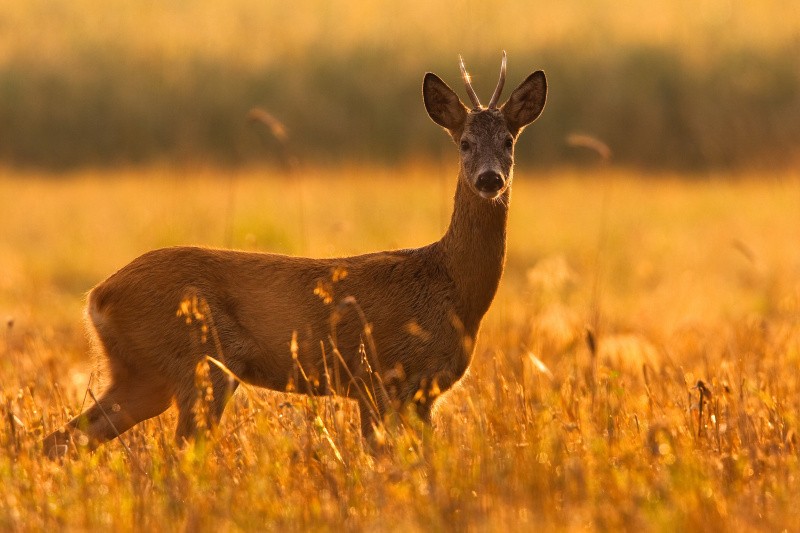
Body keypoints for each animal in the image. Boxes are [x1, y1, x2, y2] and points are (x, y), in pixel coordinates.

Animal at [42, 52, 544, 456]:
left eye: (509, 141)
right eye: (464, 143)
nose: (490, 179)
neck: (450, 287)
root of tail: (97, 298)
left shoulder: (421, 394)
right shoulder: (377, 377)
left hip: (143, 374)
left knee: (64, 438)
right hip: (201, 362)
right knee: (178, 451)